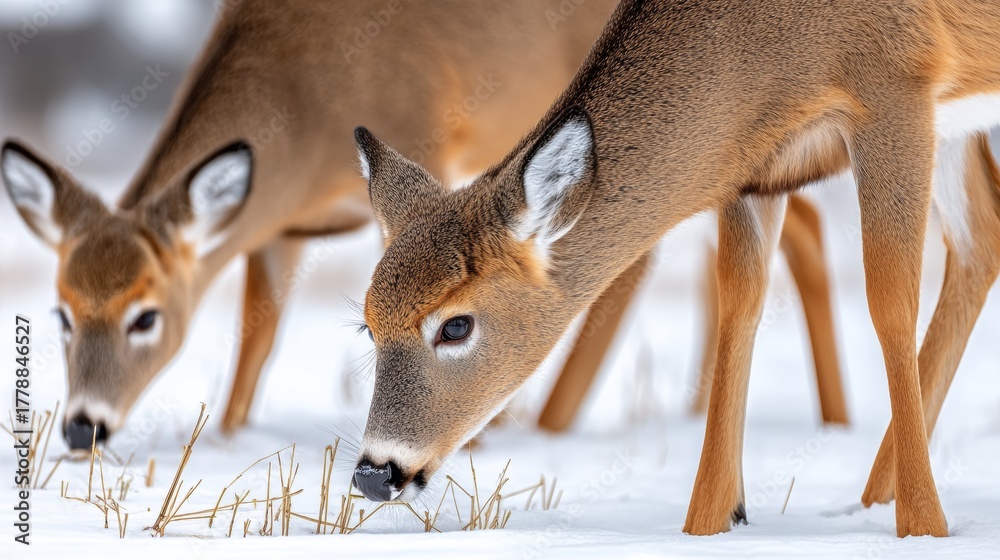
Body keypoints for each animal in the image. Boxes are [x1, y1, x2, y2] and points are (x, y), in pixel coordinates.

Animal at [350, 0, 1000, 539]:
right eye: (368, 325)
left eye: (455, 325)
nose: (375, 472)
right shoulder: (755, 167)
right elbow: (740, 301)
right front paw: (711, 522)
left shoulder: (898, 87)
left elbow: (889, 298)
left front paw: (925, 528)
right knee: (983, 236)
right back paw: (869, 498)